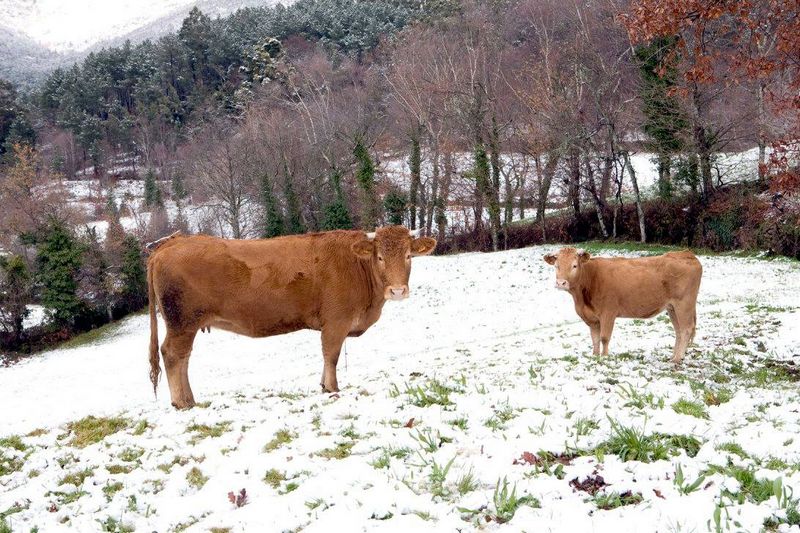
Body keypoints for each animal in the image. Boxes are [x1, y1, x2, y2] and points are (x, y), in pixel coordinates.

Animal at [147, 226, 437, 409]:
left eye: (408, 256)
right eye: (379, 257)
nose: (397, 290)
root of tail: (172, 243)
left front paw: (323, 385)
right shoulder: (336, 321)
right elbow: (331, 354)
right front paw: (332, 388)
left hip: (187, 325)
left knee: (183, 359)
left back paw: (190, 399)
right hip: (182, 323)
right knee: (172, 355)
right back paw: (181, 402)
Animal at [543, 247, 702, 363]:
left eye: (574, 265)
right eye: (556, 266)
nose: (561, 283)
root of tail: (686, 253)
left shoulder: (608, 313)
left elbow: (604, 337)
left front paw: (605, 357)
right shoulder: (592, 318)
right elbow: (595, 339)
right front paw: (595, 356)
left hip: (684, 304)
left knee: (686, 329)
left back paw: (677, 359)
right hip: (672, 307)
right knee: (679, 331)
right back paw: (674, 356)